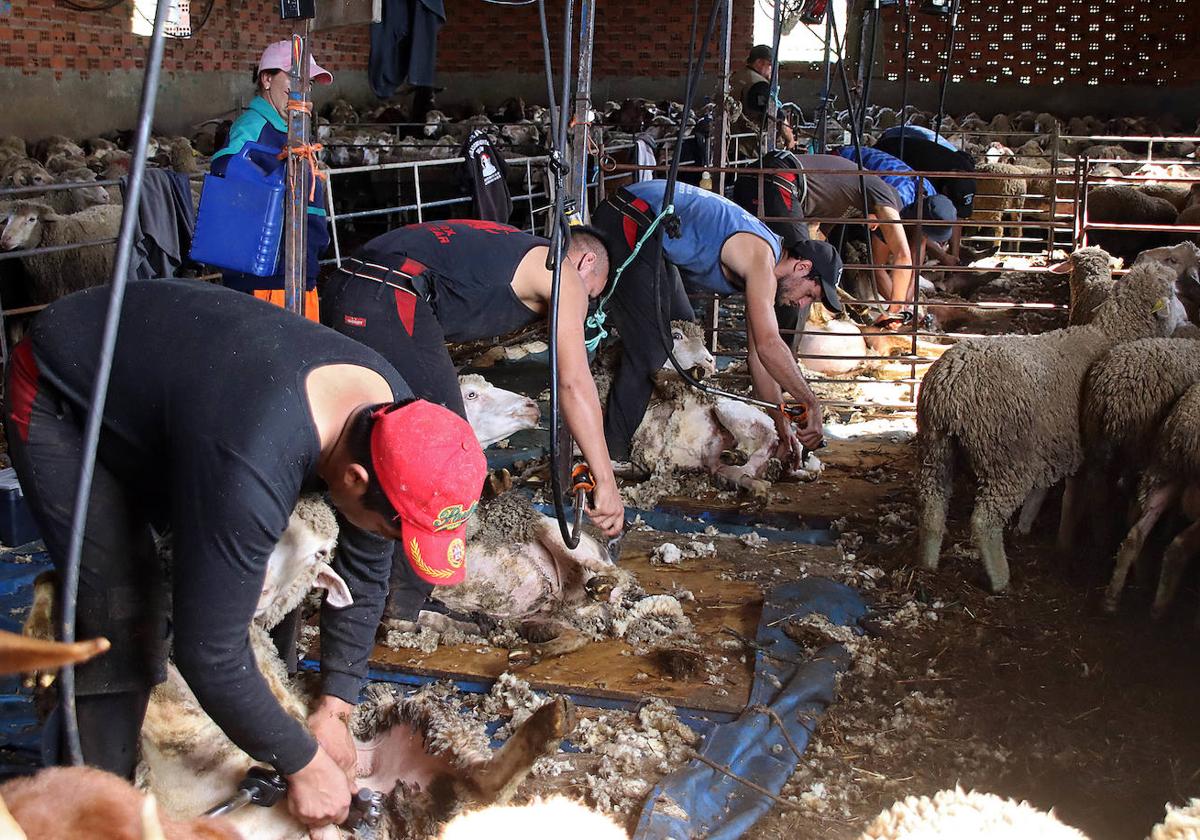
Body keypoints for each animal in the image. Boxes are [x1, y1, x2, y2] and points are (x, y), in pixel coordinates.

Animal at [912, 242, 1195, 590]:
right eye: (1173, 292)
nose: (1187, 319)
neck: (1109, 334)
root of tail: (950, 386)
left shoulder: (1053, 442)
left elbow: (1044, 491)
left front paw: (1027, 524)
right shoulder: (1085, 449)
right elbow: (1081, 499)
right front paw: (1076, 543)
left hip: (935, 444)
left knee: (931, 504)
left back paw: (927, 562)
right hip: (1005, 455)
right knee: (984, 521)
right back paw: (1000, 578)